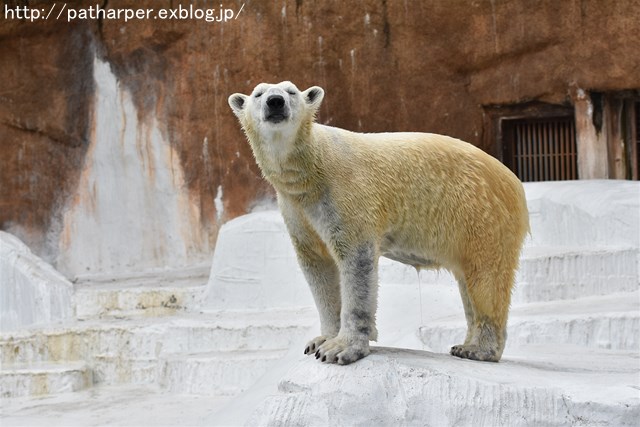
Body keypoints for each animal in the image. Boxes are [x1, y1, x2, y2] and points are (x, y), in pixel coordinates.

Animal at [228, 82, 528, 366]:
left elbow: (355, 262)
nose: (275, 102)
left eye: (290, 91)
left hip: (481, 216)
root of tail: (513, 181)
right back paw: (465, 345)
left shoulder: (346, 195)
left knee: (486, 279)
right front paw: (321, 340)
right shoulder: (296, 208)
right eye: (258, 94)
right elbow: (317, 265)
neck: (311, 169)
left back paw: (478, 350)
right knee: (469, 279)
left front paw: (341, 349)